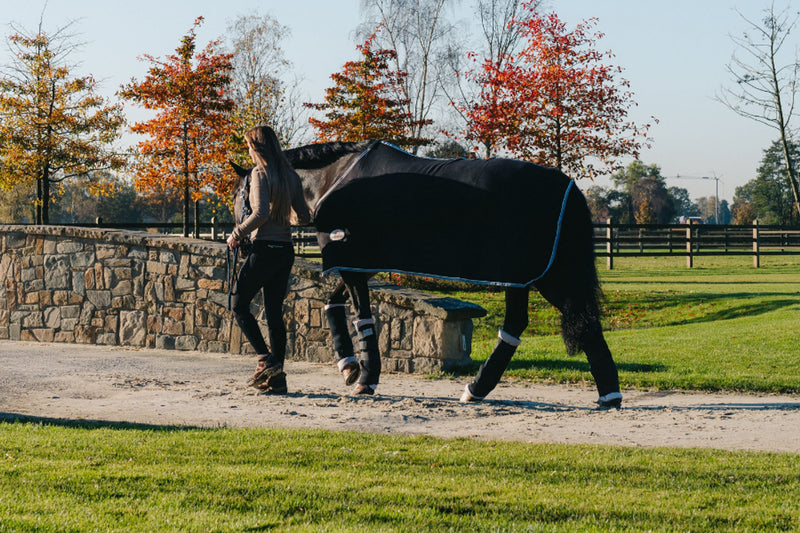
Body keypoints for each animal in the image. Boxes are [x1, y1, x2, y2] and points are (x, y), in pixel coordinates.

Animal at [232, 140, 622, 408]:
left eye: (240, 193)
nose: (242, 242)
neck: (335, 179)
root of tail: (568, 187)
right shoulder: (359, 264)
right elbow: (332, 305)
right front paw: (348, 366)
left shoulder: (355, 265)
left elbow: (363, 319)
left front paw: (366, 378)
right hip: (524, 278)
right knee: (532, 325)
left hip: (546, 277)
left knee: (569, 323)